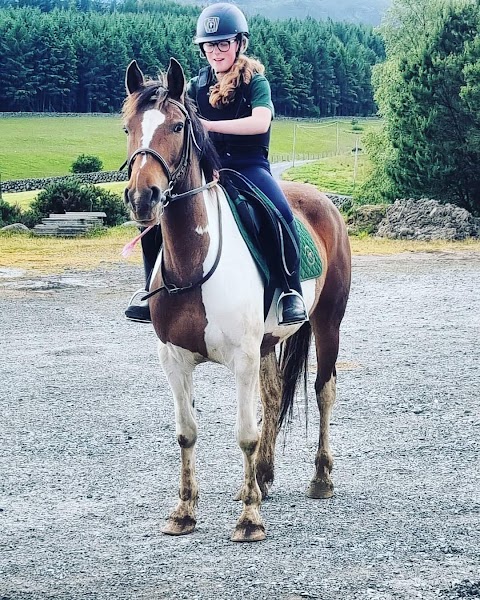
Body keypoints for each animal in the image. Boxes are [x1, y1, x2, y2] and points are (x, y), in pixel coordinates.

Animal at [122, 58, 350, 540]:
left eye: (176, 126)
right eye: (128, 127)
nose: (143, 197)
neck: (194, 262)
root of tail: (322, 200)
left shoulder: (242, 357)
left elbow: (245, 433)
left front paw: (249, 519)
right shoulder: (174, 358)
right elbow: (186, 432)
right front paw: (184, 512)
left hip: (328, 323)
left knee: (324, 391)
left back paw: (320, 478)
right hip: (268, 342)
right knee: (274, 394)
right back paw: (262, 476)